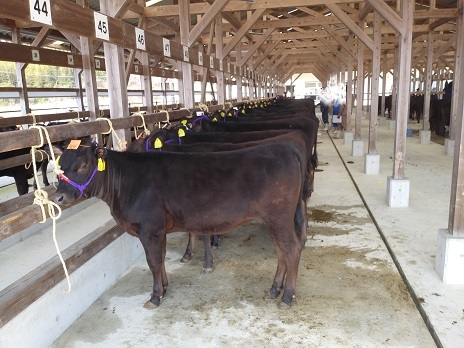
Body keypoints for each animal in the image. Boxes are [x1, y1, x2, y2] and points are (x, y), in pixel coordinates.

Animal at [52, 139, 306, 308]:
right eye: (58, 165)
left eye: (83, 165)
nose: (58, 197)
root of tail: (284, 147)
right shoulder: (159, 230)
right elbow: (162, 258)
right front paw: (165, 287)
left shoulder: (149, 229)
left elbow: (153, 261)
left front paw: (155, 296)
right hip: (273, 219)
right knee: (281, 250)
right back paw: (275, 289)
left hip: (279, 217)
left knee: (292, 248)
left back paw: (287, 297)